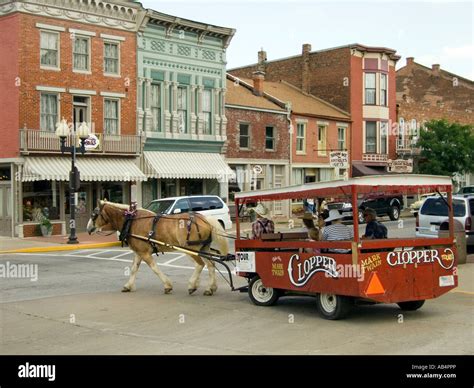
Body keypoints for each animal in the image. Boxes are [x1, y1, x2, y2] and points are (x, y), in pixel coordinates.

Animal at [89, 202, 231, 296]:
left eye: (94, 215)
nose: (88, 228)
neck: (132, 221)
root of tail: (205, 219)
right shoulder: (139, 252)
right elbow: (134, 269)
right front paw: (128, 286)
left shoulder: (145, 253)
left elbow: (155, 269)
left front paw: (168, 286)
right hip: (203, 248)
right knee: (211, 264)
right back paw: (210, 288)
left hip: (191, 249)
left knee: (200, 264)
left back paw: (192, 285)